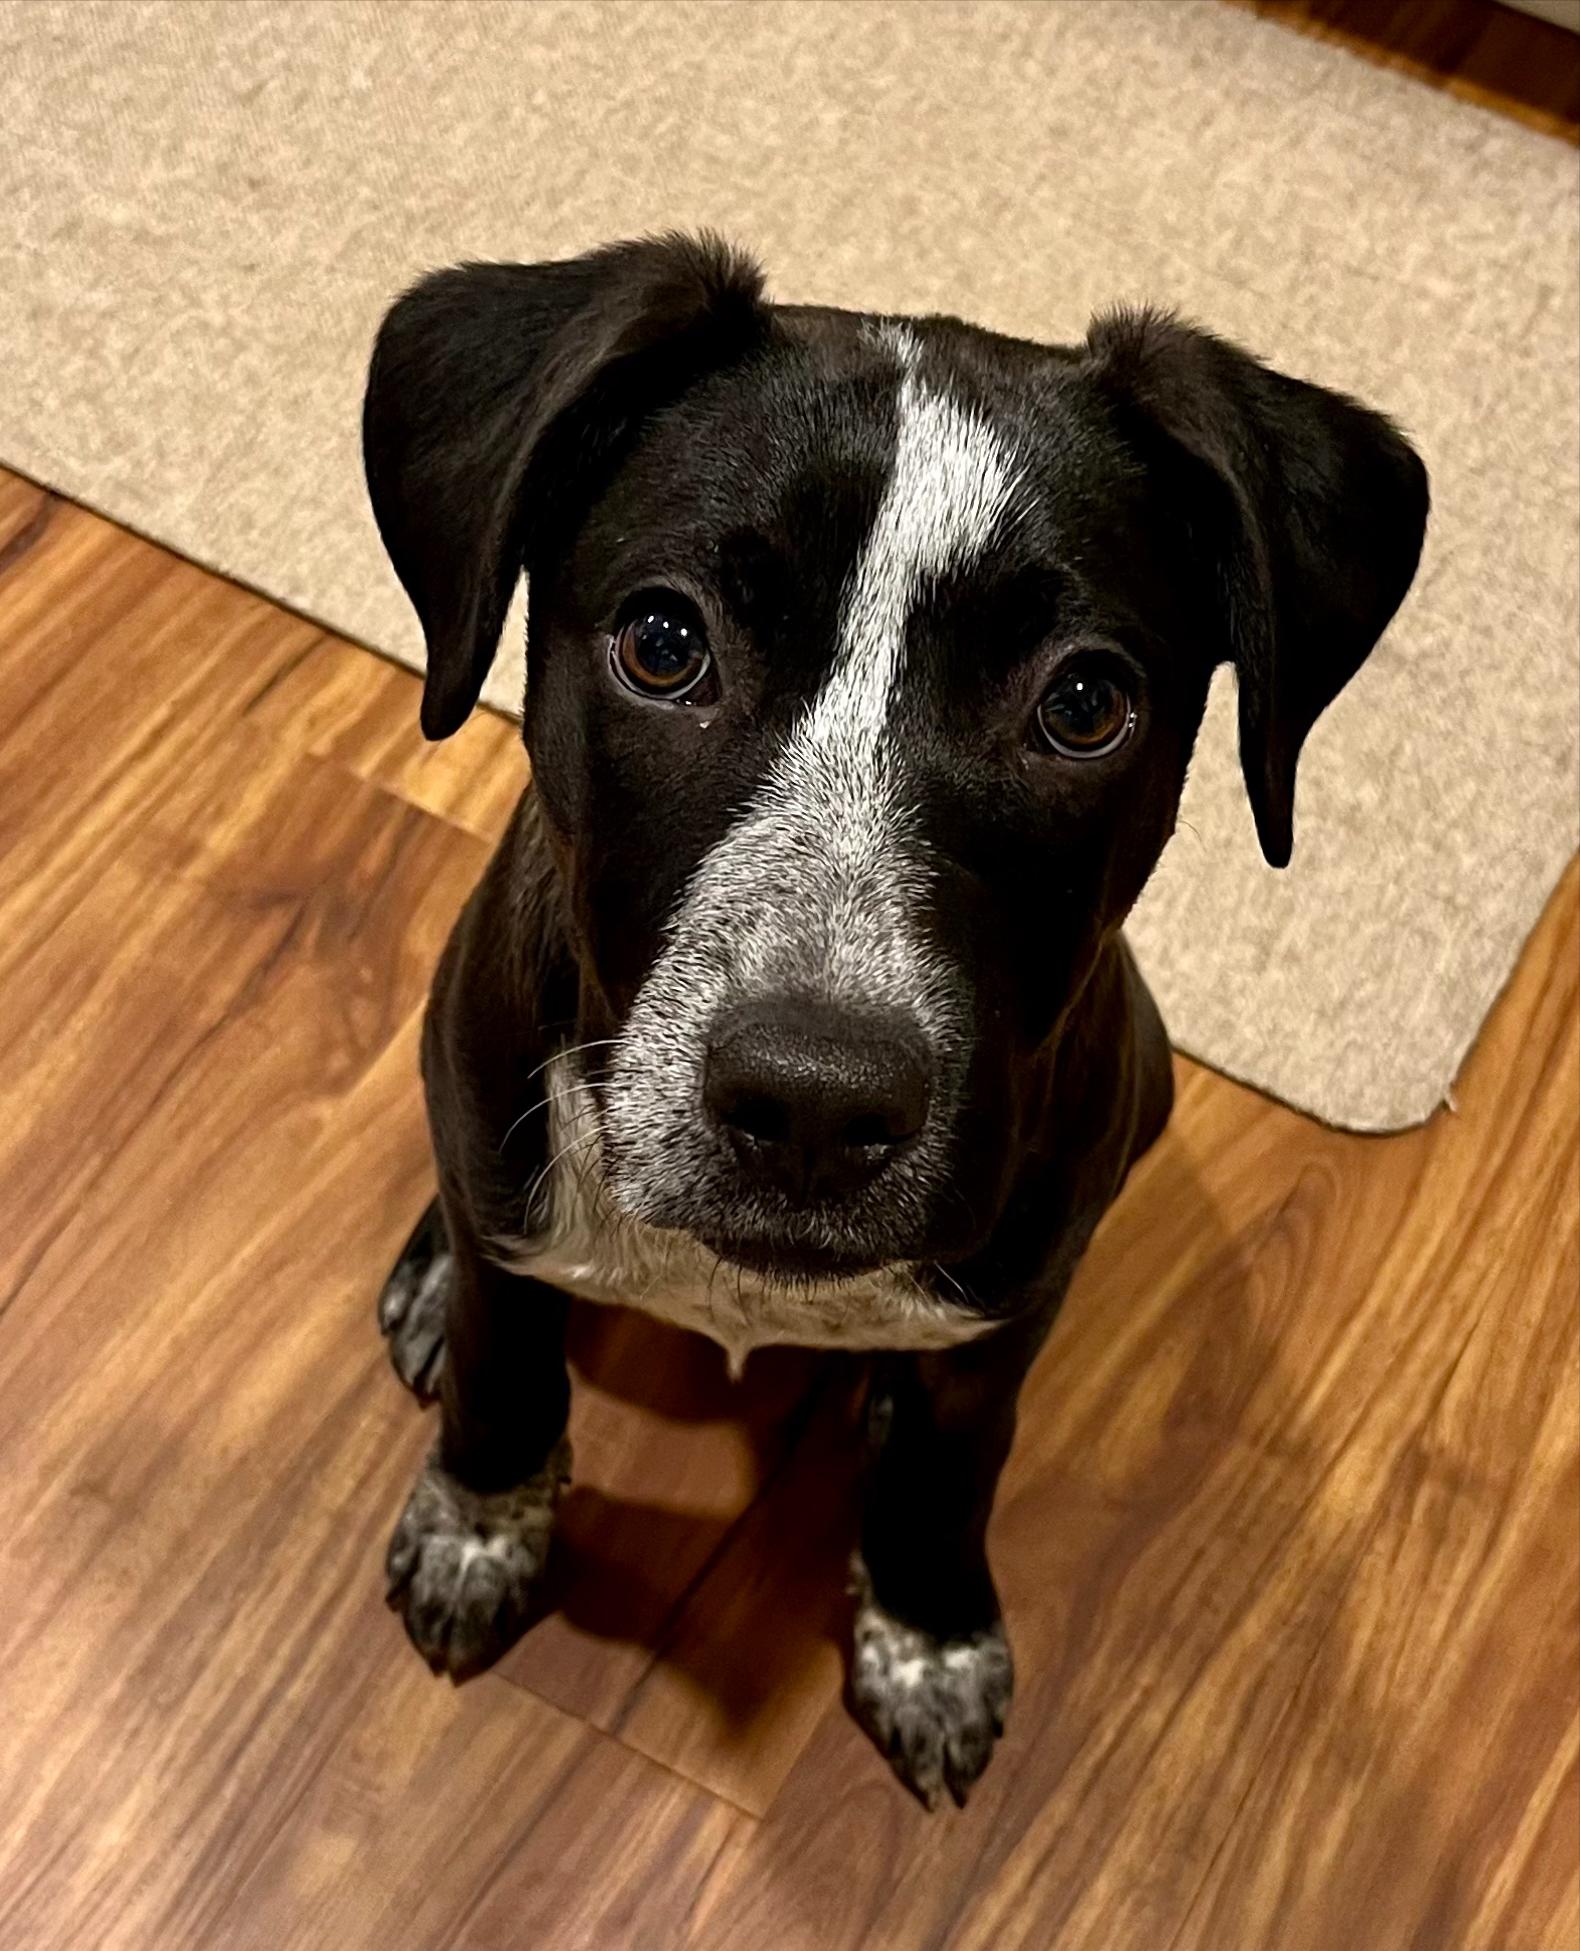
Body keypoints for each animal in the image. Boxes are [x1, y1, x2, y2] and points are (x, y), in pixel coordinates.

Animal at [362, 236, 1420, 1802]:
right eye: (662, 641)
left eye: (1084, 704)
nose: (810, 1102)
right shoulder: (497, 1122)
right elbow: (506, 1369)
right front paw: (483, 1520)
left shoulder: (1005, 1313)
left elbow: (945, 1472)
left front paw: (927, 1634)